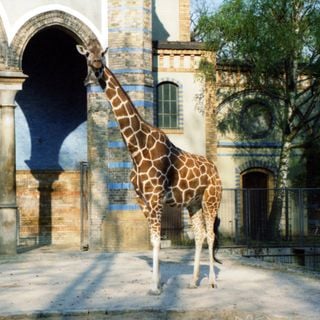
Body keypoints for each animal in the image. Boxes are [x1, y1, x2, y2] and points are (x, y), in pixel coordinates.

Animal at [77, 40, 222, 296]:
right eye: (87, 54)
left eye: (102, 53)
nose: (96, 65)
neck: (136, 147)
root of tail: (215, 170)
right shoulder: (141, 199)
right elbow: (154, 240)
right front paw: (156, 282)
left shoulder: (155, 197)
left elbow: (156, 240)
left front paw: (155, 287)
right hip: (193, 203)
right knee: (200, 235)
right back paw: (194, 280)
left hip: (211, 198)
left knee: (211, 235)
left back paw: (213, 281)